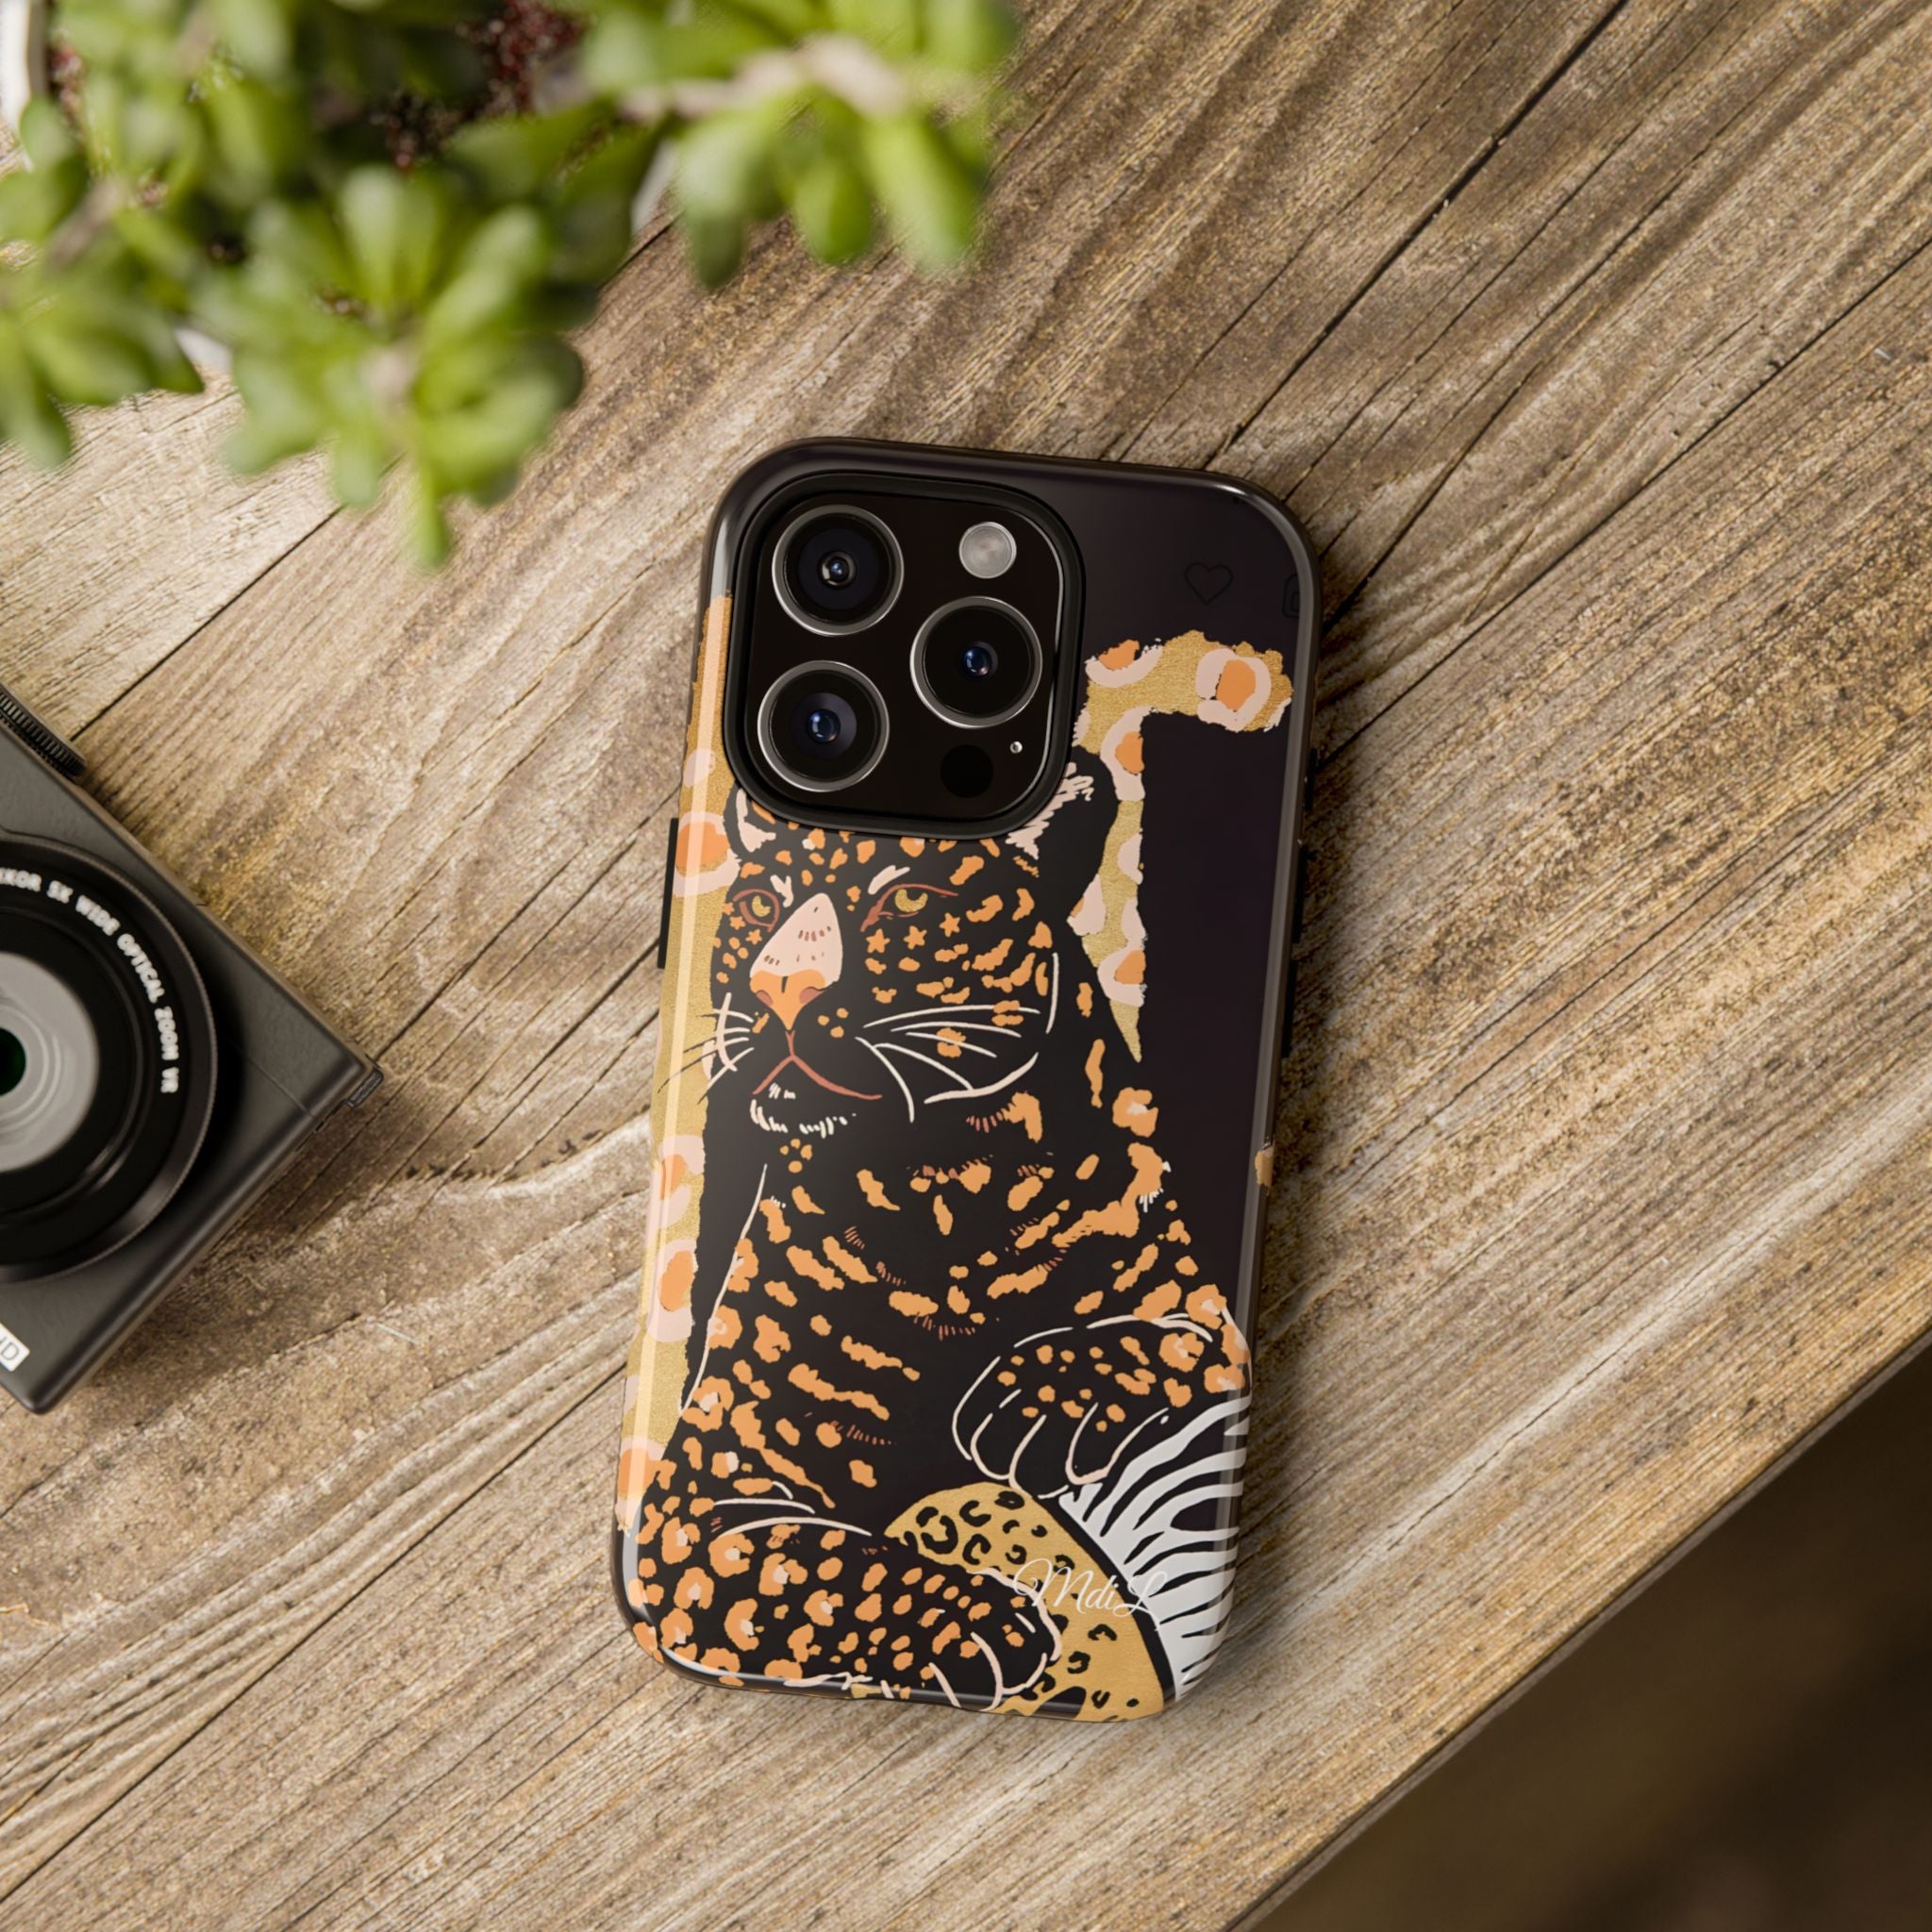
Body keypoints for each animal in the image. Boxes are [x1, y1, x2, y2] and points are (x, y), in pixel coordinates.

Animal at [620, 750, 1249, 1711]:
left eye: (907, 899)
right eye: (762, 905)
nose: (780, 990)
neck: (948, 1187)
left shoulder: (1205, 1307)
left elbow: (1176, 1339)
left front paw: (1035, 1398)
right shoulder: (703, 1493)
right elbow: (822, 1566)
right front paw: (978, 1623)